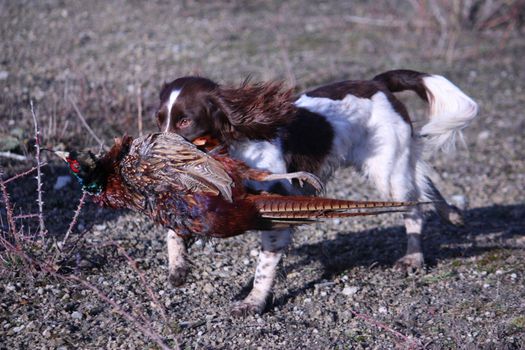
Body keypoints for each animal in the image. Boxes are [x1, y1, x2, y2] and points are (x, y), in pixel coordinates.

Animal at [154, 69, 476, 314]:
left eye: (185, 120)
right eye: (159, 119)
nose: (156, 153)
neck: (232, 146)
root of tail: (379, 83)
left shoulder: (276, 209)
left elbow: (264, 267)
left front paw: (253, 303)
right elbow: (173, 228)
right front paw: (178, 267)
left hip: (387, 171)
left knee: (413, 208)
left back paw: (413, 258)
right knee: (424, 183)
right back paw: (452, 215)